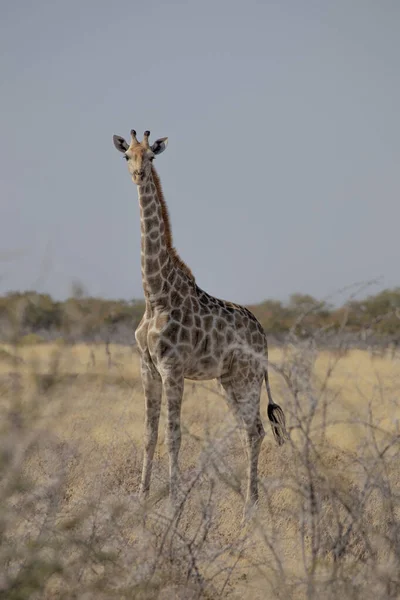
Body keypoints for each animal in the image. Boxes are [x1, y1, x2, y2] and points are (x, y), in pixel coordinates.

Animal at [112, 129, 288, 512]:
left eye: (151, 156)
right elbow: (149, 434)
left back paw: (248, 508)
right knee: (250, 431)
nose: (138, 175)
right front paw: (141, 500)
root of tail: (264, 337)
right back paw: (250, 503)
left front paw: (174, 503)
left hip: (247, 378)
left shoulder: (172, 368)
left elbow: (173, 435)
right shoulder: (147, 366)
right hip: (228, 380)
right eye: (127, 156)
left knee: (255, 431)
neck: (155, 295)